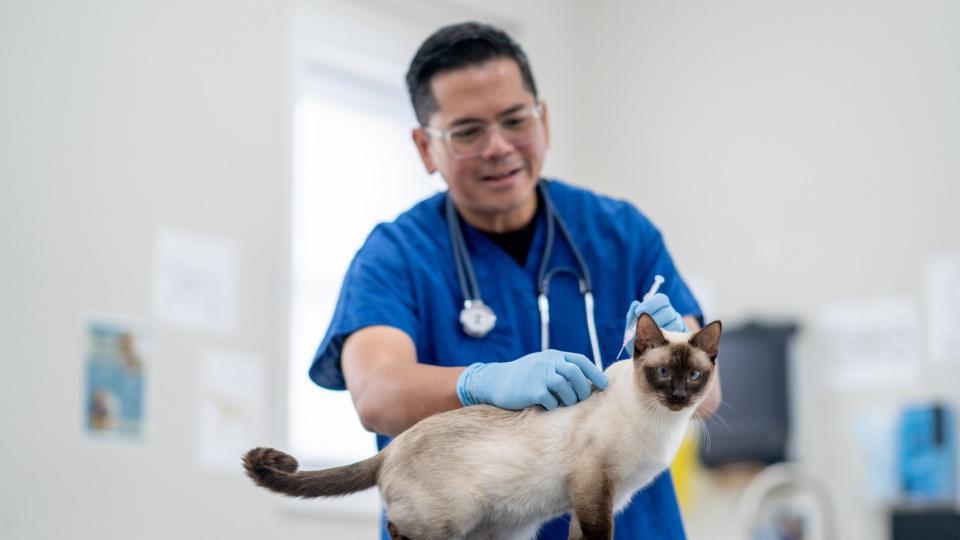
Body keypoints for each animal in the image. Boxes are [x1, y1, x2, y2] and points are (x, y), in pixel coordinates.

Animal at [244, 312, 724, 540]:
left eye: (693, 377)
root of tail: (393, 446)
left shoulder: (601, 499)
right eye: (663, 374)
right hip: (449, 520)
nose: (679, 398)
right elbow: (598, 535)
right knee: (397, 527)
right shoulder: (594, 487)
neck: (658, 423)